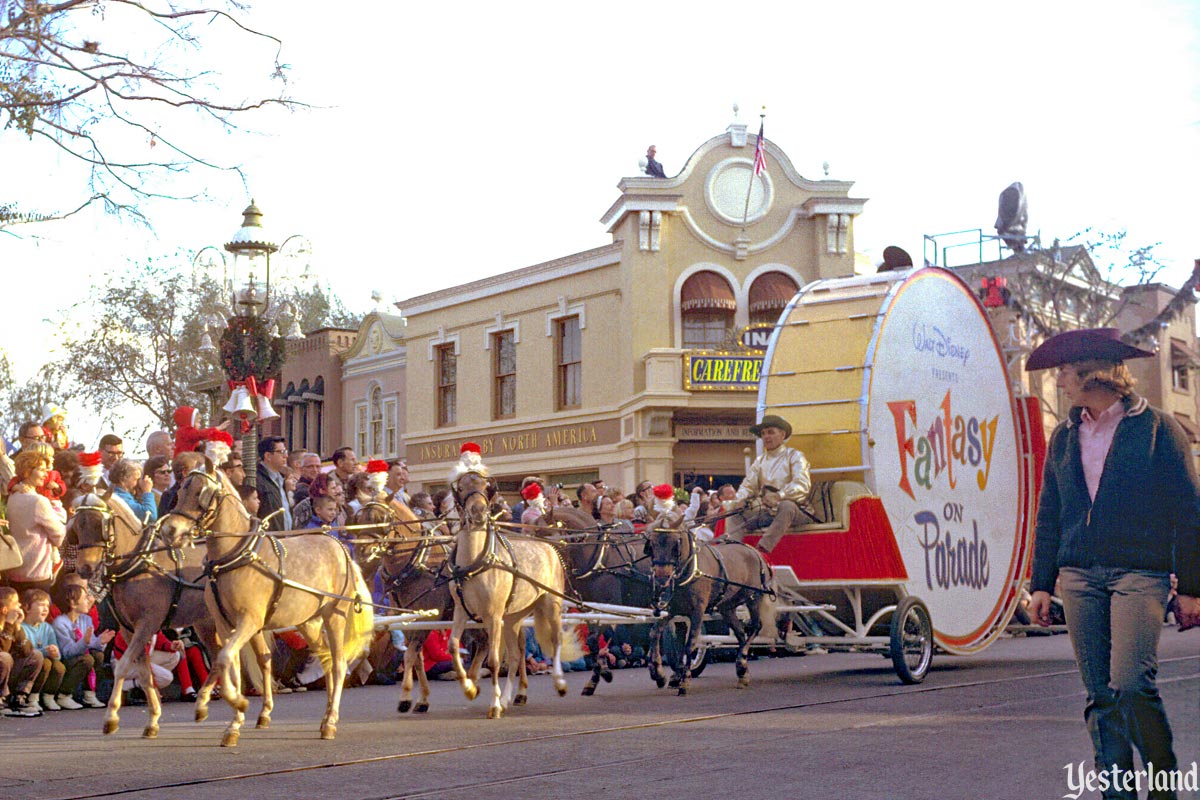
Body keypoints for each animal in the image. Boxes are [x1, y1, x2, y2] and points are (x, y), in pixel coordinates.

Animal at [159, 462, 372, 743]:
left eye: (200, 493)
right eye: (180, 490)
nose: (169, 530)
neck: (236, 556)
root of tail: (340, 547)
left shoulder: (249, 621)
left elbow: (225, 659)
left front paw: (237, 705)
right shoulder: (225, 625)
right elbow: (230, 665)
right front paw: (233, 722)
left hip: (334, 616)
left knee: (337, 664)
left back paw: (331, 722)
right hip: (308, 623)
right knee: (325, 658)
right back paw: (325, 716)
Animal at [448, 470, 568, 719]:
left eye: (485, 487)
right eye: (461, 488)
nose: (478, 512)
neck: (476, 561)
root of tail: (549, 546)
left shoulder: (493, 616)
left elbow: (493, 661)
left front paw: (493, 704)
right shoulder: (461, 611)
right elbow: (453, 646)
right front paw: (469, 688)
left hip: (551, 604)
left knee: (556, 639)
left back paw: (559, 682)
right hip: (513, 617)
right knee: (515, 654)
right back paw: (506, 698)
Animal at [648, 525, 777, 695]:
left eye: (676, 545)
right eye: (652, 544)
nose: (661, 578)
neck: (691, 571)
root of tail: (755, 552)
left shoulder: (698, 611)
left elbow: (690, 643)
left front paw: (684, 681)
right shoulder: (673, 610)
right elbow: (655, 632)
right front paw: (658, 673)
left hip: (754, 598)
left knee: (755, 627)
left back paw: (742, 661)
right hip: (727, 607)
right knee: (741, 633)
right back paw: (742, 670)